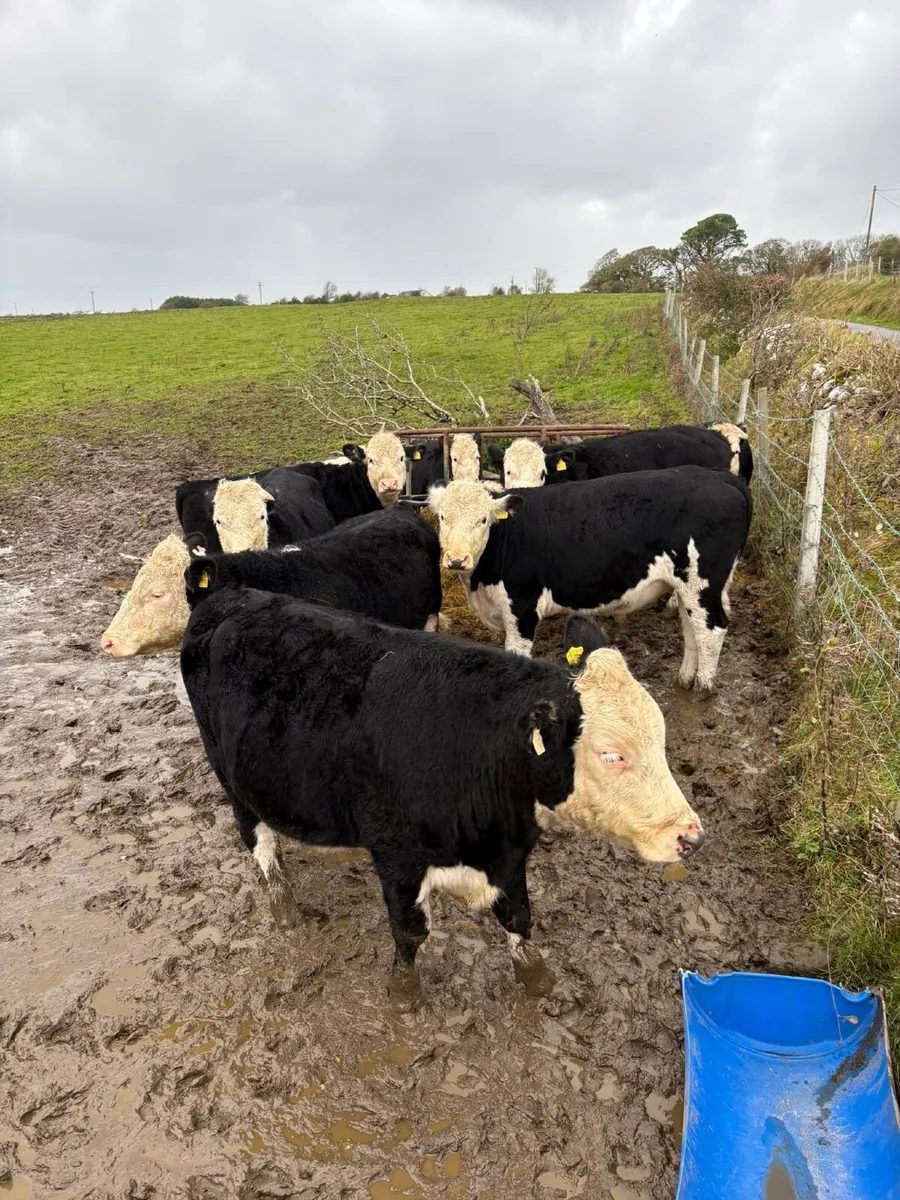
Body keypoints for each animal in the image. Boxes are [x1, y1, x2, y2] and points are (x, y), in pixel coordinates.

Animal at [179, 598, 705, 995]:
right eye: (612, 755)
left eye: (660, 737)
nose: (690, 836)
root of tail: (232, 598)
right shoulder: (396, 854)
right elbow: (411, 933)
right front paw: (403, 996)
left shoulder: (508, 856)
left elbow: (520, 919)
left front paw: (536, 980)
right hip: (232, 780)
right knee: (259, 843)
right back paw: (284, 905)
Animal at [428, 467, 752, 692]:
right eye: (443, 517)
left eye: (482, 520)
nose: (456, 559)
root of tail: (720, 477)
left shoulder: (522, 608)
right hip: (687, 587)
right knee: (692, 627)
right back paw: (685, 676)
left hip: (702, 582)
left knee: (712, 628)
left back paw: (703, 686)